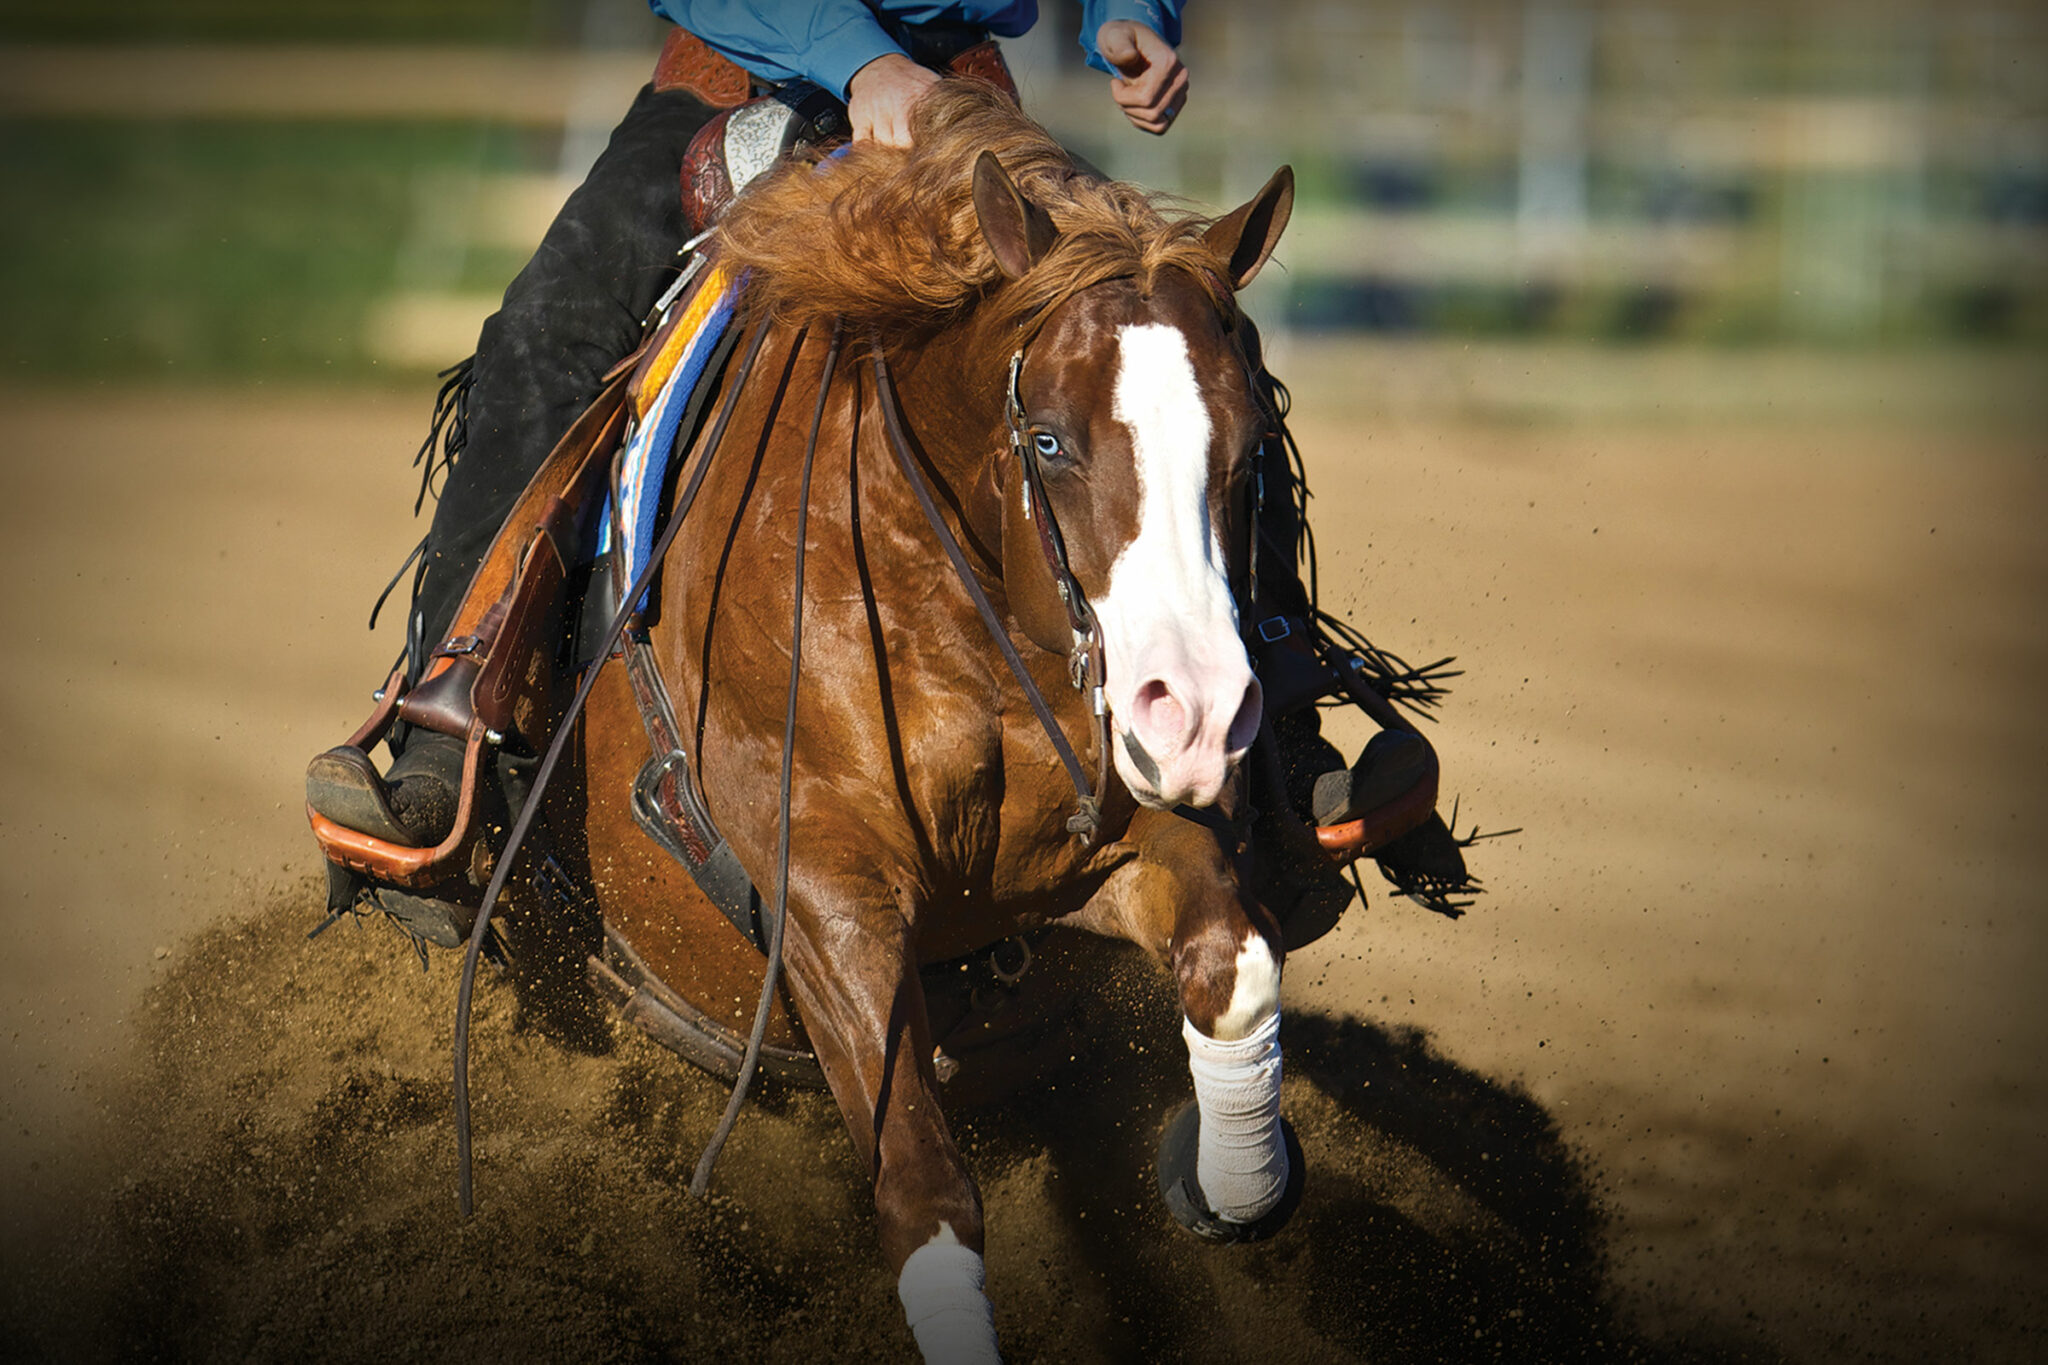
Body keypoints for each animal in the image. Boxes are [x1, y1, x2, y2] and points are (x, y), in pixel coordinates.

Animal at [555, 82, 1302, 1361]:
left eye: (1252, 448)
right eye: (1046, 439)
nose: (1200, 712)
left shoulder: (1100, 848)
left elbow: (1234, 969)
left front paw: (1229, 1181)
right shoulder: (827, 887)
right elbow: (922, 1187)